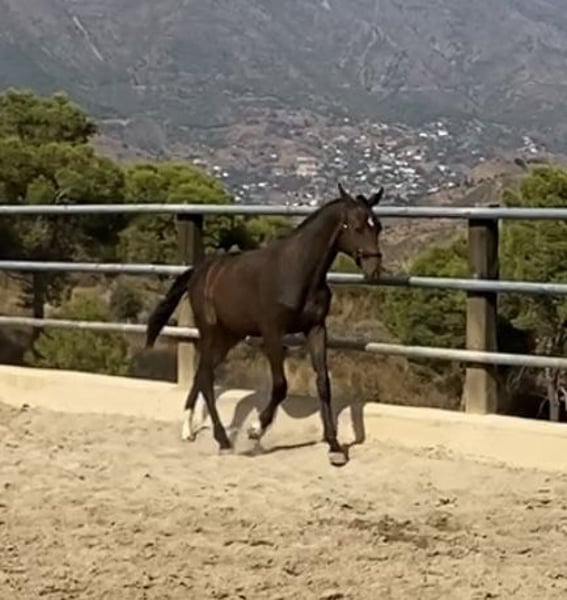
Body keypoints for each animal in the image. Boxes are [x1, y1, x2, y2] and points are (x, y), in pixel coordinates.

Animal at [145, 182, 385, 466]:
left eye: (378, 226)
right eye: (357, 227)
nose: (374, 269)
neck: (297, 272)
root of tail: (199, 271)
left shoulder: (316, 329)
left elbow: (323, 383)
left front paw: (335, 448)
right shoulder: (272, 332)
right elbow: (280, 385)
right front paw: (255, 430)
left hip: (228, 337)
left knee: (201, 374)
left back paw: (187, 430)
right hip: (210, 331)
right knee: (205, 376)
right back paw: (223, 441)